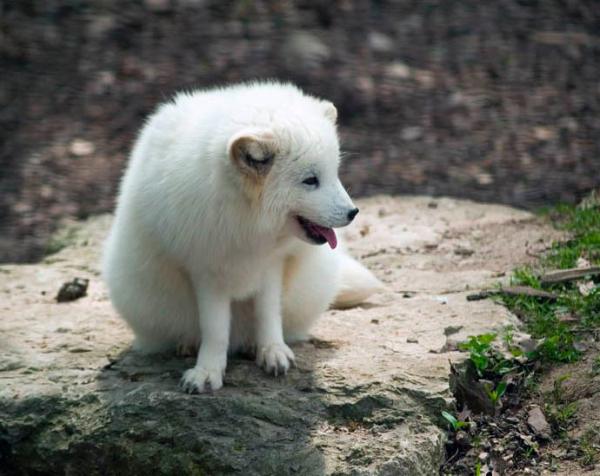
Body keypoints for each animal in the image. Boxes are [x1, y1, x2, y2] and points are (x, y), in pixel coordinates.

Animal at [101, 82, 382, 392]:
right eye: (310, 180)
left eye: (335, 173)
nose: (353, 212)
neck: (247, 228)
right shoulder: (205, 272)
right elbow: (214, 330)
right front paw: (207, 371)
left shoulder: (272, 265)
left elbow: (268, 313)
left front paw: (272, 351)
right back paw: (189, 344)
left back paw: (250, 345)